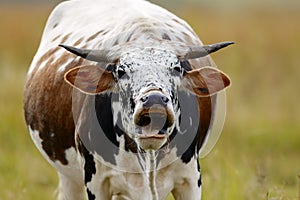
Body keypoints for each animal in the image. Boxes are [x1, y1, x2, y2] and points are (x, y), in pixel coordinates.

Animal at [24, 0, 232, 199]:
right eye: (121, 71)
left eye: (177, 68)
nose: (154, 100)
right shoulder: (96, 182)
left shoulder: (190, 178)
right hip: (68, 177)